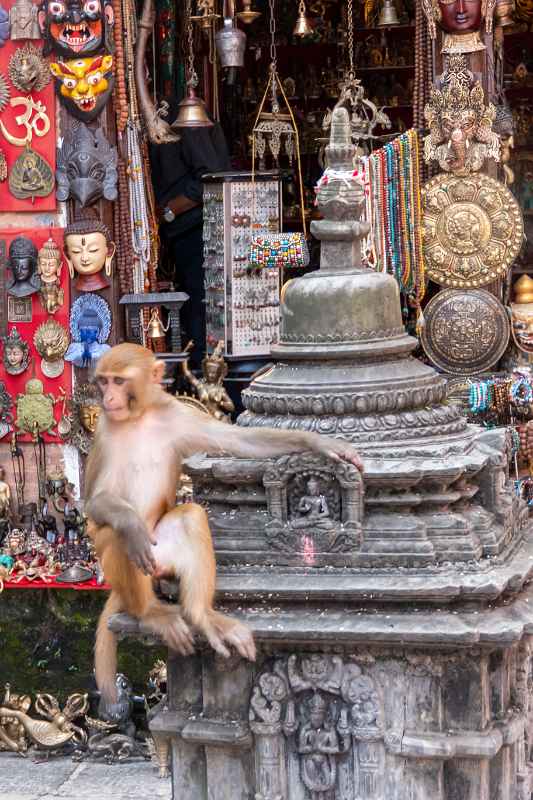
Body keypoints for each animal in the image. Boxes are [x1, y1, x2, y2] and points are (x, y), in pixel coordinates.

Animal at [85, 343, 363, 703]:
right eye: (103, 381)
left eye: (119, 381)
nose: (108, 398)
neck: (139, 416)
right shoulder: (104, 433)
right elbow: (94, 503)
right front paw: (130, 523)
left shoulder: (179, 416)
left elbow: (238, 441)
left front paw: (318, 442)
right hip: (129, 561)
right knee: (118, 536)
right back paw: (149, 611)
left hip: (161, 556)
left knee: (190, 516)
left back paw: (202, 616)